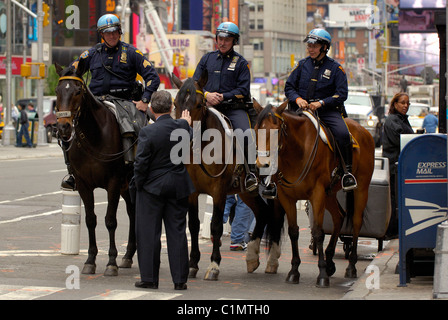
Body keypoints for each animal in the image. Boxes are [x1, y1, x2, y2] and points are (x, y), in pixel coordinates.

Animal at [55, 62, 135, 276]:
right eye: (57, 91)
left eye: (78, 91)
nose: (63, 127)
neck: (94, 135)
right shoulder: (83, 184)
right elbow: (91, 220)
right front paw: (90, 260)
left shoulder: (113, 183)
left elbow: (110, 220)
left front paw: (111, 262)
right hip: (126, 187)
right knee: (132, 212)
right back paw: (128, 255)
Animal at [172, 72, 284, 280]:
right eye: (175, 103)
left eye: (198, 104)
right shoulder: (192, 192)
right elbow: (193, 225)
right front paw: (192, 264)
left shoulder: (219, 191)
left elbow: (216, 225)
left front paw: (214, 265)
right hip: (247, 192)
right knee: (263, 213)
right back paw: (252, 257)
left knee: (276, 217)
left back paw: (272, 259)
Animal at [252, 100, 374, 288]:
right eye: (256, 128)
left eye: (276, 129)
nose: (262, 164)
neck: (296, 153)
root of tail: (364, 130)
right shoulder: (287, 197)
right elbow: (294, 232)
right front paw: (294, 271)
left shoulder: (316, 195)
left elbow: (318, 232)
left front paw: (322, 275)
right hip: (329, 194)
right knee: (339, 217)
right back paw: (330, 261)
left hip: (360, 189)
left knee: (355, 223)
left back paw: (351, 266)